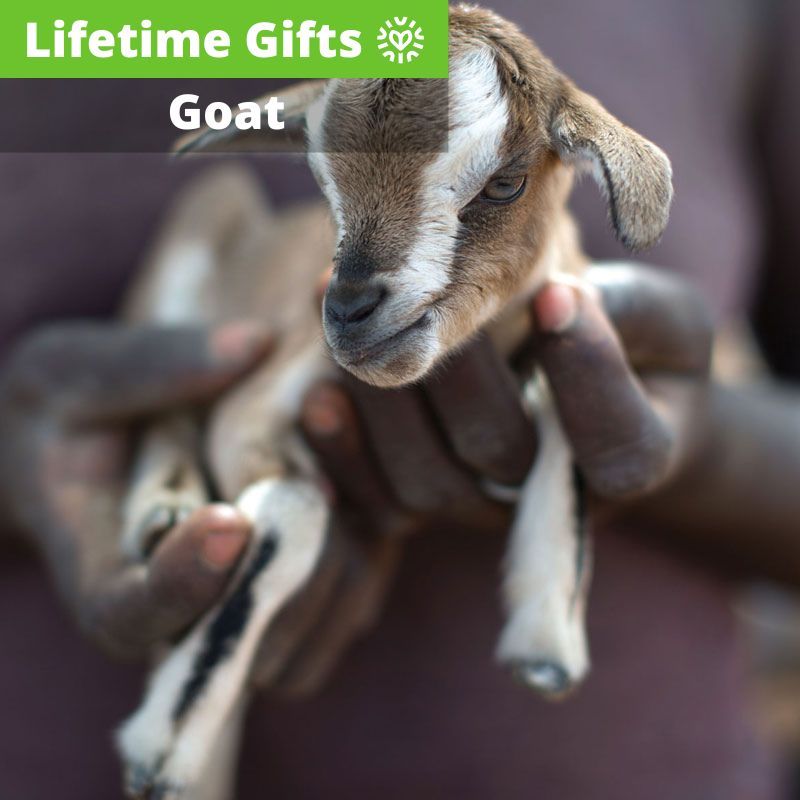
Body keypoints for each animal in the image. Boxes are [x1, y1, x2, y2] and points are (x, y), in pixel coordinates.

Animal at [116, 5, 672, 798]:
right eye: (323, 183)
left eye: (505, 183)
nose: (349, 312)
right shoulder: (259, 398)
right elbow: (292, 504)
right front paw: (164, 746)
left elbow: (567, 397)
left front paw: (545, 641)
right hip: (193, 242)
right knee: (167, 399)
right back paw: (163, 510)